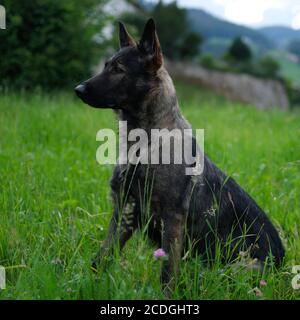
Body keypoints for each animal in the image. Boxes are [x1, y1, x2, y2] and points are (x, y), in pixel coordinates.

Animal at [74, 18, 284, 292]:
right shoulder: (124, 212)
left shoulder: (172, 220)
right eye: (106, 66)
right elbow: (101, 256)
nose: (78, 89)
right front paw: (85, 284)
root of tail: (282, 260)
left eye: (119, 69)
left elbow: (167, 273)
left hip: (235, 269)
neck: (146, 142)